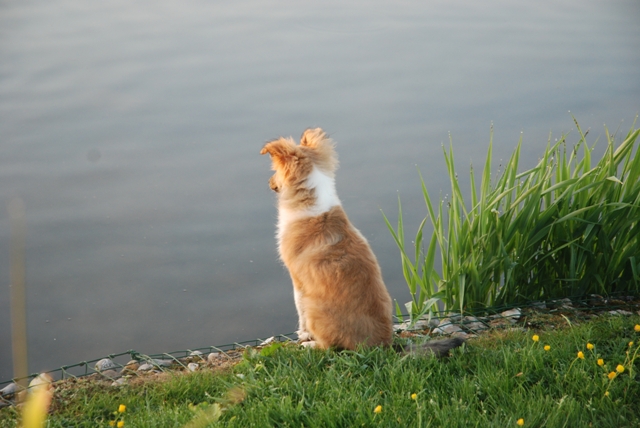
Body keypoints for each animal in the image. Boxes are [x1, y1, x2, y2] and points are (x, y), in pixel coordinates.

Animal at [260, 129, 464, 356]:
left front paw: (303, 335)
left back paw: (310, 345)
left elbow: (299, 312)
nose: (268, 183)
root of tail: (383, 345)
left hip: (315, 309)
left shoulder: (298, 281)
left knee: (329, 346)